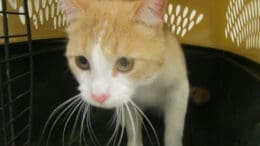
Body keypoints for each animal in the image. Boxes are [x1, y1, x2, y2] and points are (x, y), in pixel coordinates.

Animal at [60, 0, 189, 145]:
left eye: (124, 63)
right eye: (82, 61)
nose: (98, 96)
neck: (146, 84)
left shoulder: (180, 90)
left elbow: (174, 130)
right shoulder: (130, 101)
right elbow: (133, 127)